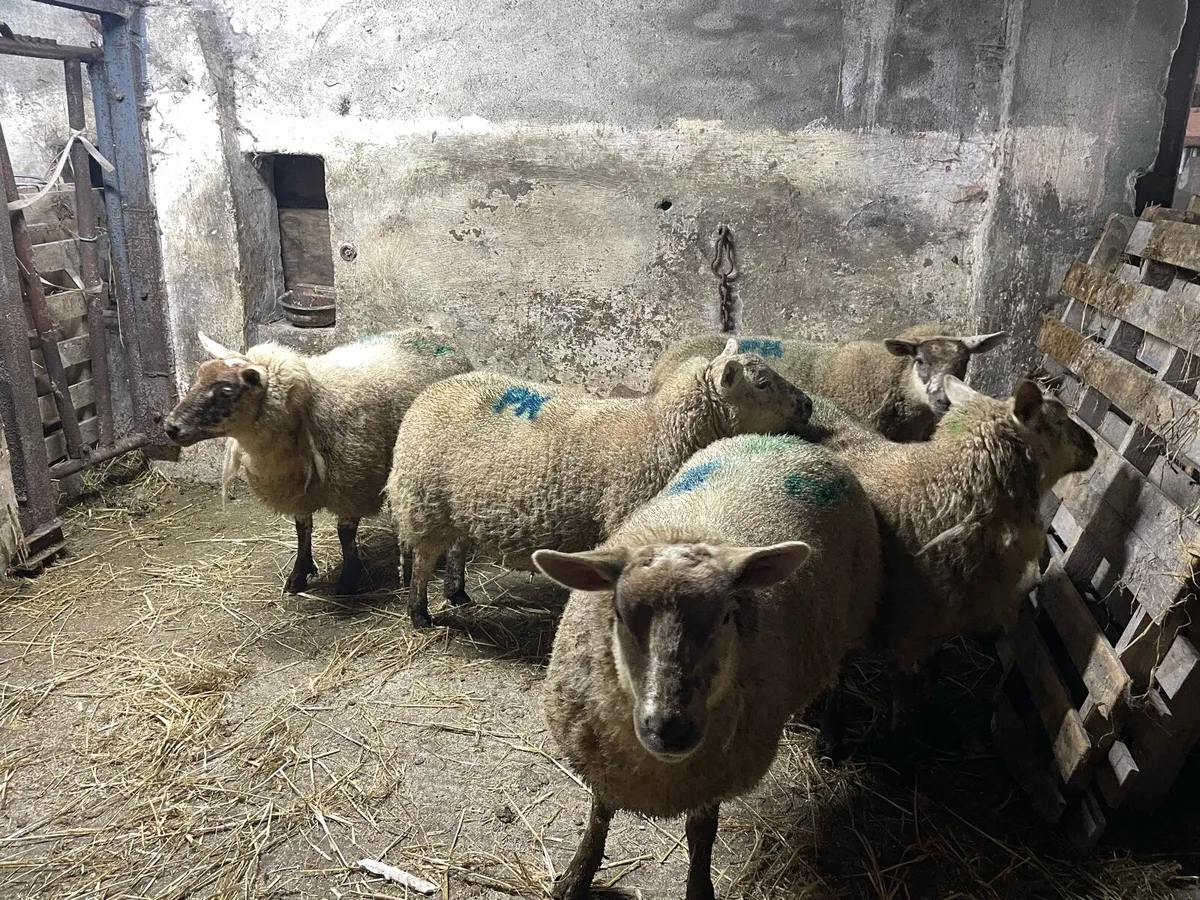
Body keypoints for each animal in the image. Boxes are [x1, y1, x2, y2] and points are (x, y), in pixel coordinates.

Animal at [163, 328, 473, 596]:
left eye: (226, 391)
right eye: (198, 376)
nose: (170, 427)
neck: (309, 407)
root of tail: (436, 333)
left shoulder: (352, 483)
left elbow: (344, 534)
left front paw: (349, 579)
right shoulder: (297, 489)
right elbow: (302, 530)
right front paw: (299, 575)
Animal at [387, 338, 814, 629]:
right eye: (761, 383)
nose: (808, 404)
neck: (657, 431)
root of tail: (431, 392)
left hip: (457, 505)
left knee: (456, 548)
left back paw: (457, 593)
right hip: (425, 502)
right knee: (424, 559)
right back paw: (420, 614)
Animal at [532, 433, 882, 900]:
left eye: (727, 616)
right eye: (620, 615)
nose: (668, 728)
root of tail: (792, 440)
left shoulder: (715, 774)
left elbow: (702, 835)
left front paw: (699, 889)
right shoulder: (602, 757)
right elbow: (598, 815)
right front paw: (576, 876)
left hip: (851, 612)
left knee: (840, 677)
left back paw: (829, 737)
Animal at [808, 377, 1097, 760]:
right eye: (1059, 420)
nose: (1094, 446)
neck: (946, 490)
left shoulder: (943, 616)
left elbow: (935, 667)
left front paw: (937, 720)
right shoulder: (891, 615)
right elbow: (894, 685)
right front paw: (887, 744)